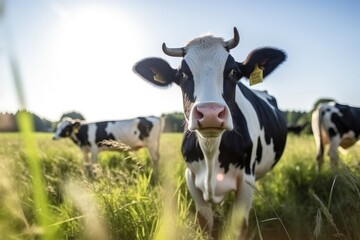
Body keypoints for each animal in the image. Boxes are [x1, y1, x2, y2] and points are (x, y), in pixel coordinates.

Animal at [132, 27, 286, 239]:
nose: (211, 113)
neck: (211, 155)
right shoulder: (191, 178)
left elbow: (238, 228)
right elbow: (205, 224)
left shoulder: (246, 180)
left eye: (233, 72)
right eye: (182, 74)